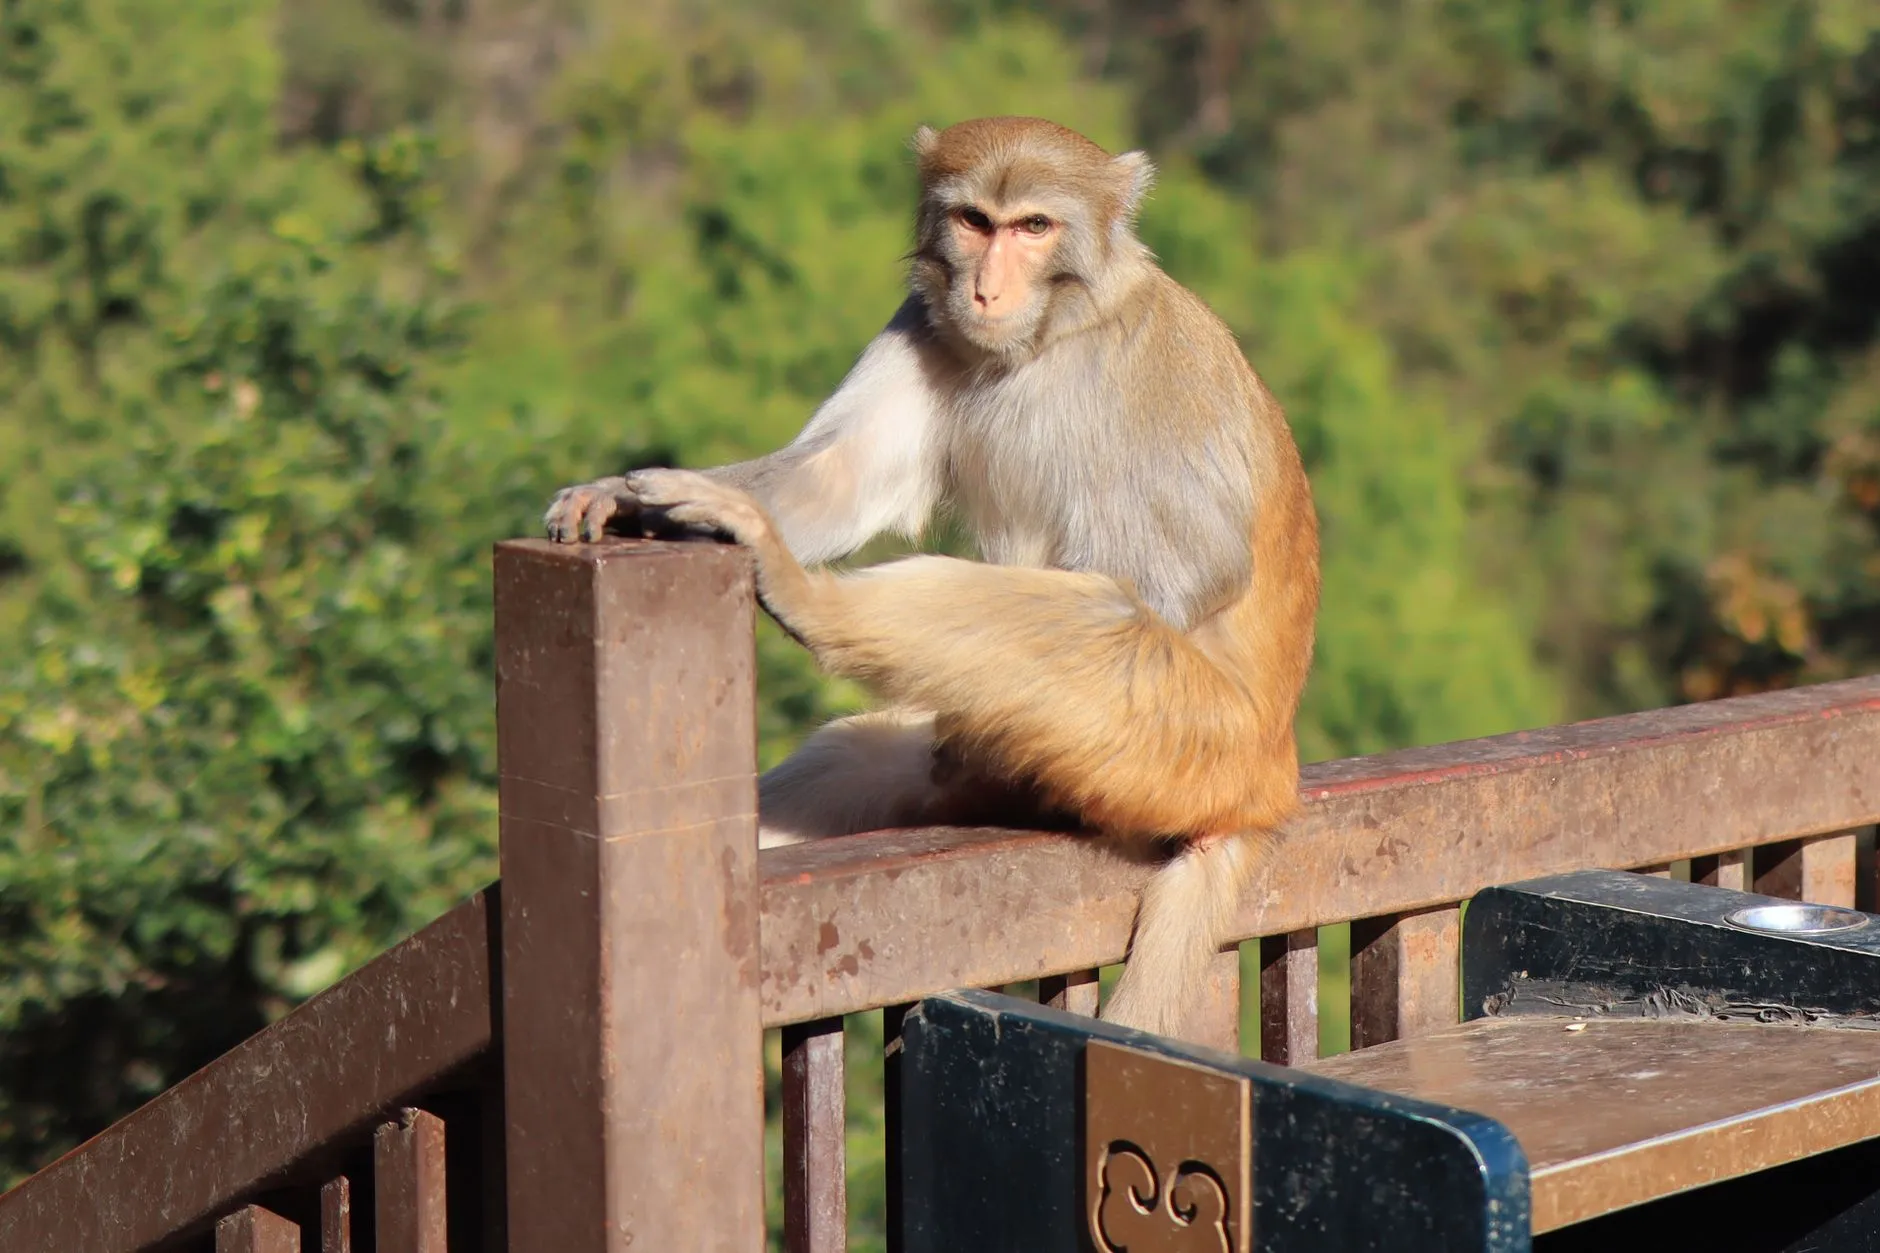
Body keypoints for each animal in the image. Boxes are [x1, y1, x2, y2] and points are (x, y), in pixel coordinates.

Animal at [543, 117, 1320, 1043]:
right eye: (975, 221)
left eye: (1033, 227)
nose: (985, 289)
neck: (1051, 336)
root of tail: (1269, 779)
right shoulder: (921, 321)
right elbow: (839, 476)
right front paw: (620, 496)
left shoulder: (1152, 369)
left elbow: (1188, 568)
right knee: (870, 756)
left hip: (1190, 739)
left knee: (1092, 623)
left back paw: (807, 595)